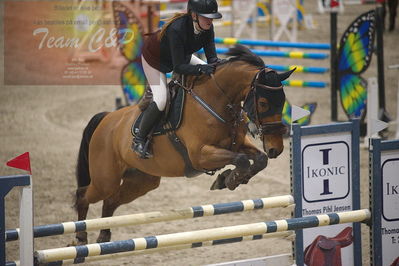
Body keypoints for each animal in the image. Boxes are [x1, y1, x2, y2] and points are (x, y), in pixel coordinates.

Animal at [73, 45, 296, 245]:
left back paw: (104, 236)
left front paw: (230, 178)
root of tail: (106, 119)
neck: (216, 101)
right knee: (83, 195)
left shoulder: (237, 144)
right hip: (106, 179)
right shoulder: (201, 155)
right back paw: (81, 237)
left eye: (283, 101)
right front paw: (230, 179)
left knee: (110, 201)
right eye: (264, 103)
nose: (276, 148)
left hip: (141, 181)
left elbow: (260, 159)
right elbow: (241, 160)